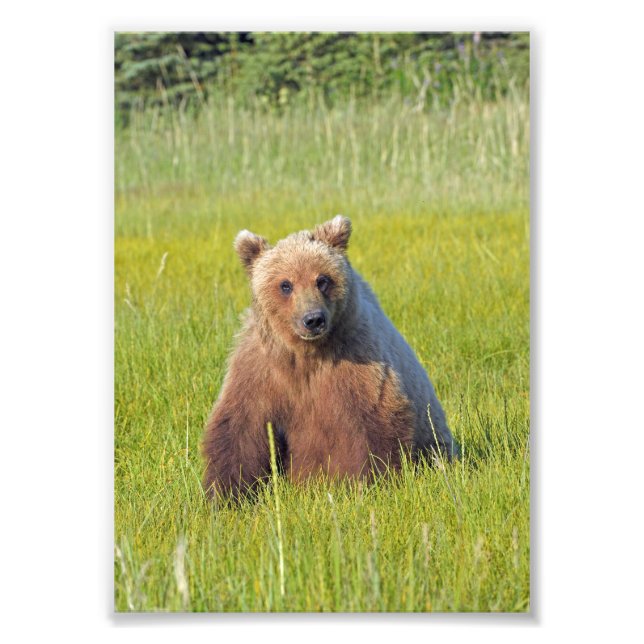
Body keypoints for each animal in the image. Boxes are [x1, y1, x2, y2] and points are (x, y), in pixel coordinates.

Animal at [202, 215, 457, 498]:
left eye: (322, 279)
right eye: (285, 284)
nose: (313, 319)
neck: (306, 354)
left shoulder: (356, 361)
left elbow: (373, 425)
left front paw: (365, 485)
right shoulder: (260, 368)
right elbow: (239, 429)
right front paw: (225, 494)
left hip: (434, 437)